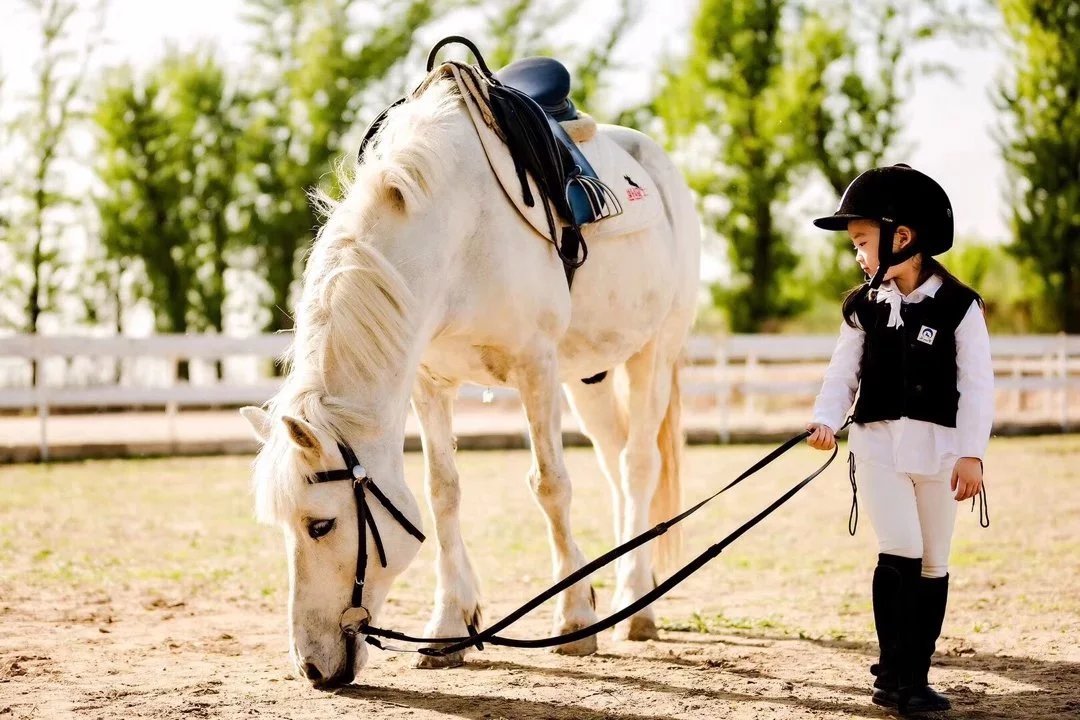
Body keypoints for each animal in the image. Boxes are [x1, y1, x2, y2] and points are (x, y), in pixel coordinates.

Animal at [239, 74, 699, 686]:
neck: (457, 233)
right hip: (590, 378)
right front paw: (448, 625)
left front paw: (577, 618)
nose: (312, 668)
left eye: (319, 525)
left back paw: (635, 605)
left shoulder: (536, 367)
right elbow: (443, 493)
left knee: (639, 464)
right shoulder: (429, 382)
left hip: (653, 353)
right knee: (616, 461)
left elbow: (550, 486)